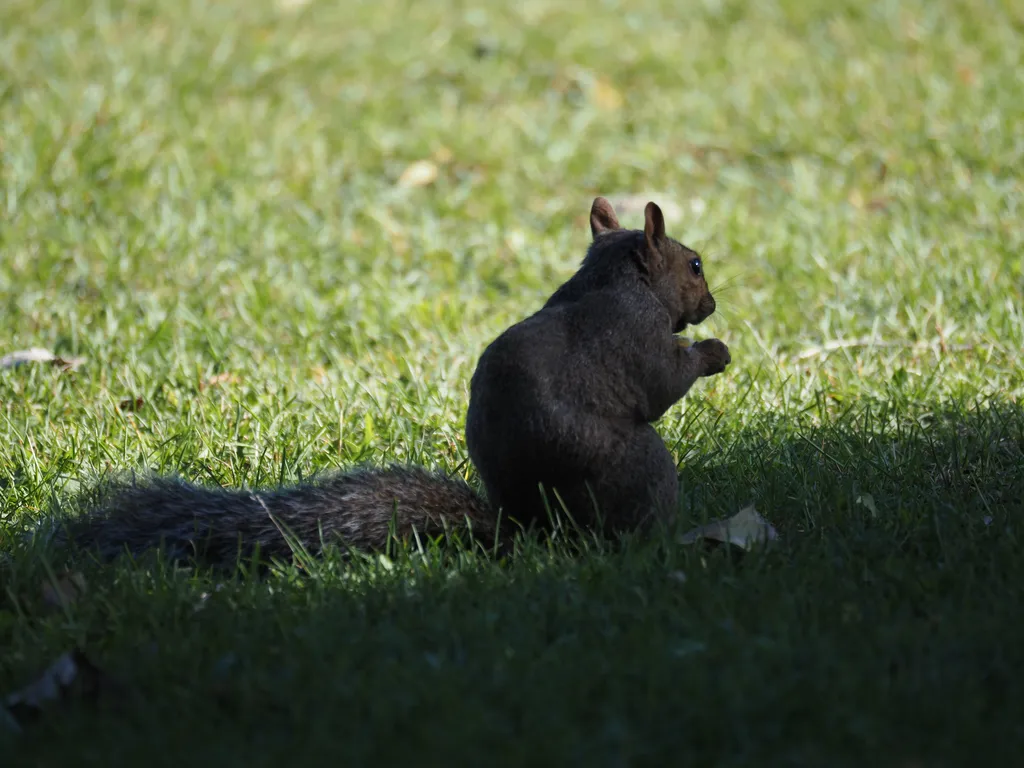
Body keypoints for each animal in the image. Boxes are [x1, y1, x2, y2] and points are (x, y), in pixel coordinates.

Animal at [46, 197, 730, 568]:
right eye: (695, 264)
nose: (713, 305)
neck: (614, 279)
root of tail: (536, 532)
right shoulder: (633, 335)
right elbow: (663, 381)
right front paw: (711, 353)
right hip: (643, 470)